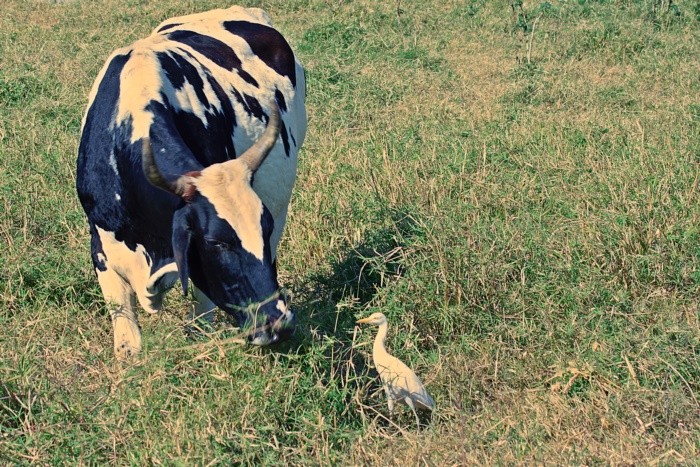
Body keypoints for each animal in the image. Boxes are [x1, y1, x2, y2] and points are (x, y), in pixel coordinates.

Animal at [77, 5, 306, 358]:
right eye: (215, 242)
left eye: (263, 228)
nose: (278, 323)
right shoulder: (102, 251)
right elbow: (128, 343)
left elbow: (199, 325)